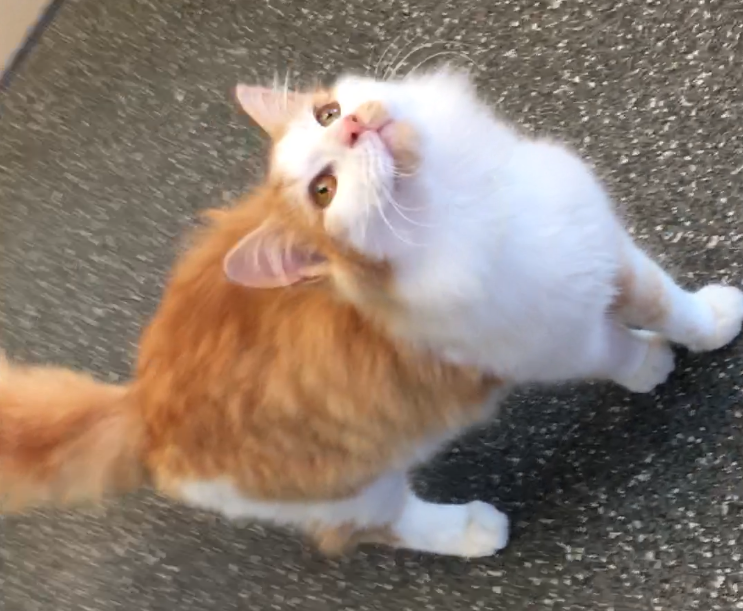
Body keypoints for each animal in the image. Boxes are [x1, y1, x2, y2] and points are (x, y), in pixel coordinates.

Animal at [1, 66, 742, 559]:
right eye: (324, 191)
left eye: (329, 116)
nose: (357, 125)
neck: (466, 199)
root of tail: (139, 408)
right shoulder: (554, 337)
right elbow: (618, 348)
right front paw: (650, 367)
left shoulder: (597, 245)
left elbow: (665, 301)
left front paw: (710, 323)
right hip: (345, 485)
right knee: (371, 527)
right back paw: (472, 530)